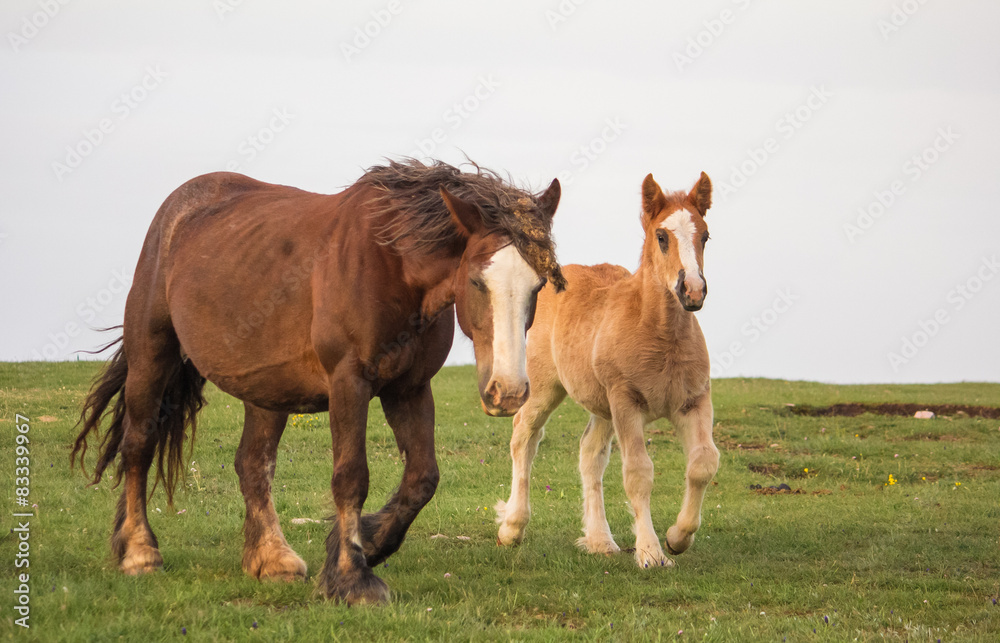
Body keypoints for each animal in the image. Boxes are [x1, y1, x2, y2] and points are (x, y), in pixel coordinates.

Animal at [73, 160, 568, 604]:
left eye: (538, 285)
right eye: (477, 281)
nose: (509, 392)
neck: (390, 264)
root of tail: (176, 211)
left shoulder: (409, 388)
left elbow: (422, 479)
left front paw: (366, 543)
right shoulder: (349, 383)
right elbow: (350, 477)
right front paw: (352, 578)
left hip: (266, 391)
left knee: (253, 464)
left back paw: (271, 560)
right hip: (152, 354)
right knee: (138, 444)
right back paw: (139, 551)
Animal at [494, 171, 720, 568]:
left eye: (705, 235)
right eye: (662, 236)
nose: (692, 291)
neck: (661, 338)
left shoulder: (693, 401)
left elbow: (703, 463)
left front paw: (678, 537)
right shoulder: (626, 401)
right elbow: (638, 473)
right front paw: (651, 553)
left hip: (602, 407)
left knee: (590, 455)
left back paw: (600, 540)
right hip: (547, 388)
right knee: (524, 437)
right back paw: (512, 527)